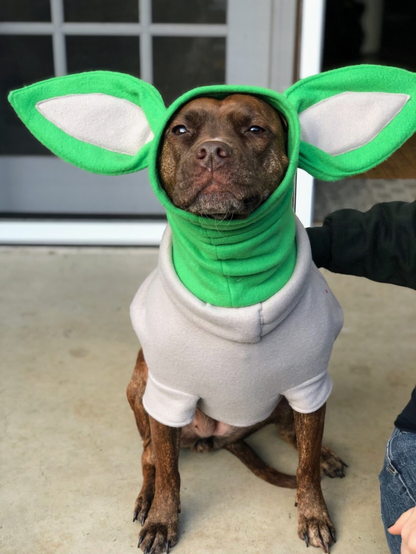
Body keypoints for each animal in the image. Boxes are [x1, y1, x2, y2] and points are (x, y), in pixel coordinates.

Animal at [125, 92, 346, 548]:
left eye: (255, 129)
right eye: (181, 130)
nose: (212, 151)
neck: (234, 288)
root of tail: (214, 440)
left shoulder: (311, 385)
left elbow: (305, 466)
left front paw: (313, 511)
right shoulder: (166, 394)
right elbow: (170, 475)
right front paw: (162, 519)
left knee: (292, 434)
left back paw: (324, 454)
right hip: (141, 387)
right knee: (150, 456)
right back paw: (146, 497)